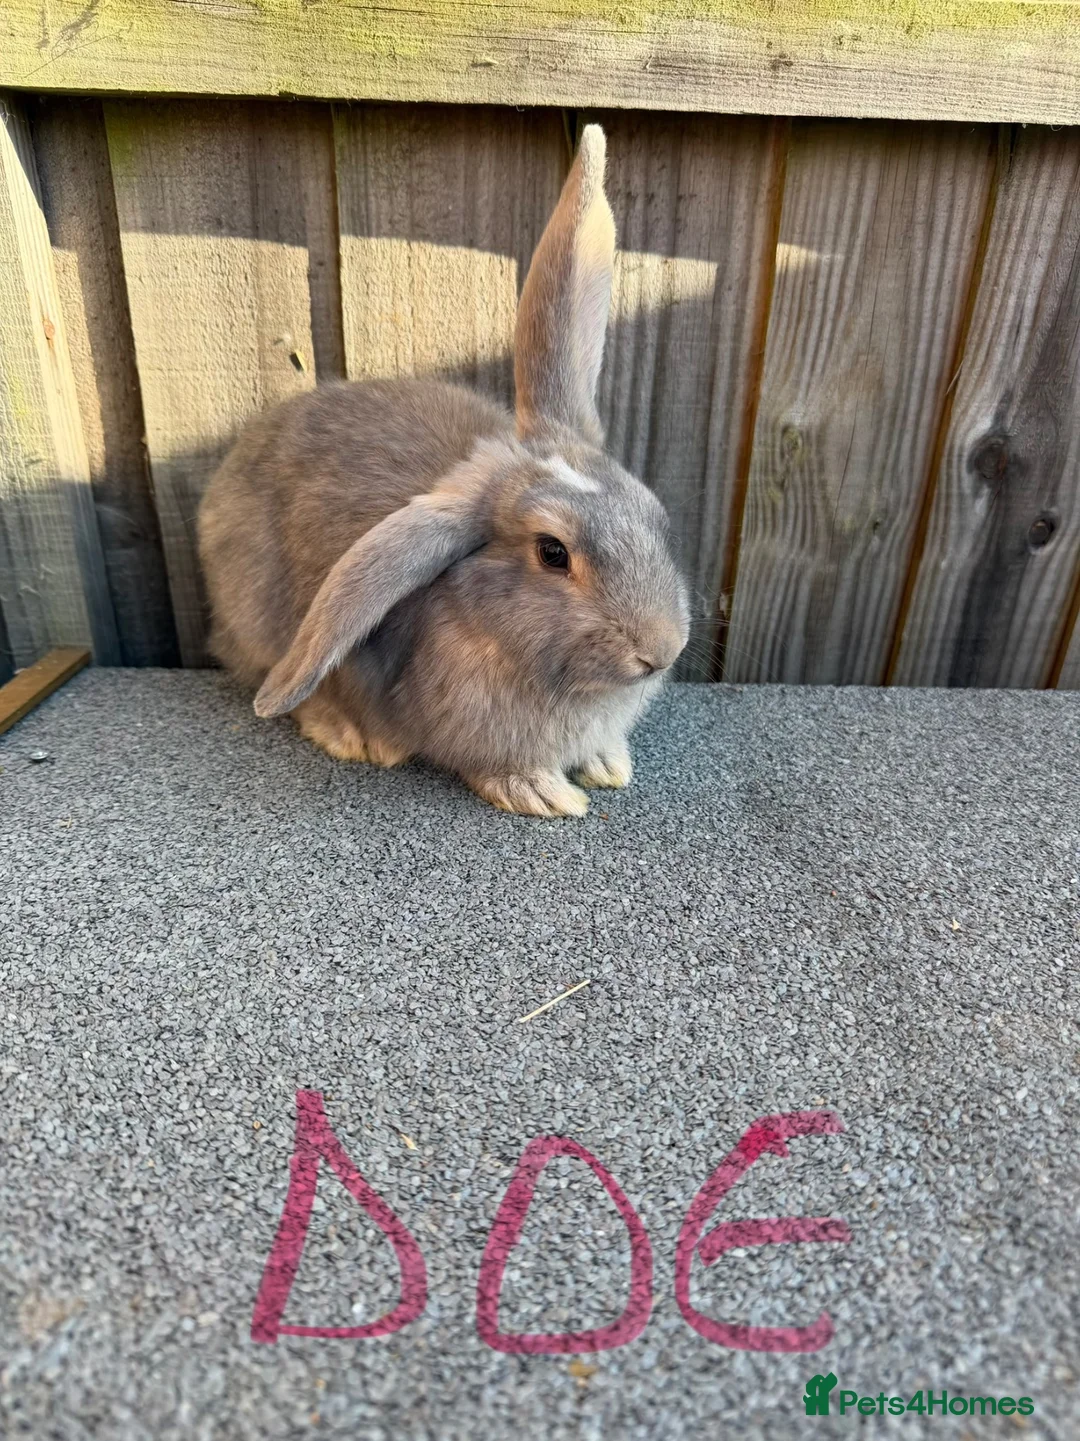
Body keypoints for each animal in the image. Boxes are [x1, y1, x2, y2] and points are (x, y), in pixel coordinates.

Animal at [198, 124, 689, 817]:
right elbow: (495, 767)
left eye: (656, 516)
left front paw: (606, 763)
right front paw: (544, 793)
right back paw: (351, 734)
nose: (661, 652)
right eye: (552, 552)